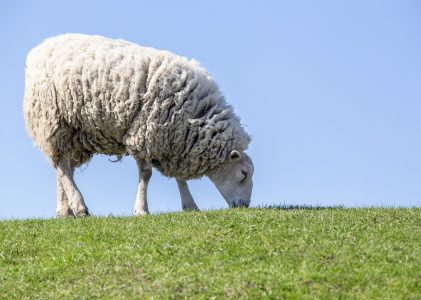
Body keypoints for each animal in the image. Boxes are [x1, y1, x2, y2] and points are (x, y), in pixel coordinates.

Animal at [23, 34, 253, 217]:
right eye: (244, 174)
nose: (245, 206)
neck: (194, 115)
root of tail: (39, 49)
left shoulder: (174, 142)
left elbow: (179, 178)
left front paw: (190, 205)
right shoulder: (145, 134)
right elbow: (146, 174)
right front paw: (142, 209)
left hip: (73, 132)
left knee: (63, 168)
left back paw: (65, 210)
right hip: (52, 119)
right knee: (62, 165)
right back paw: (79, 207)